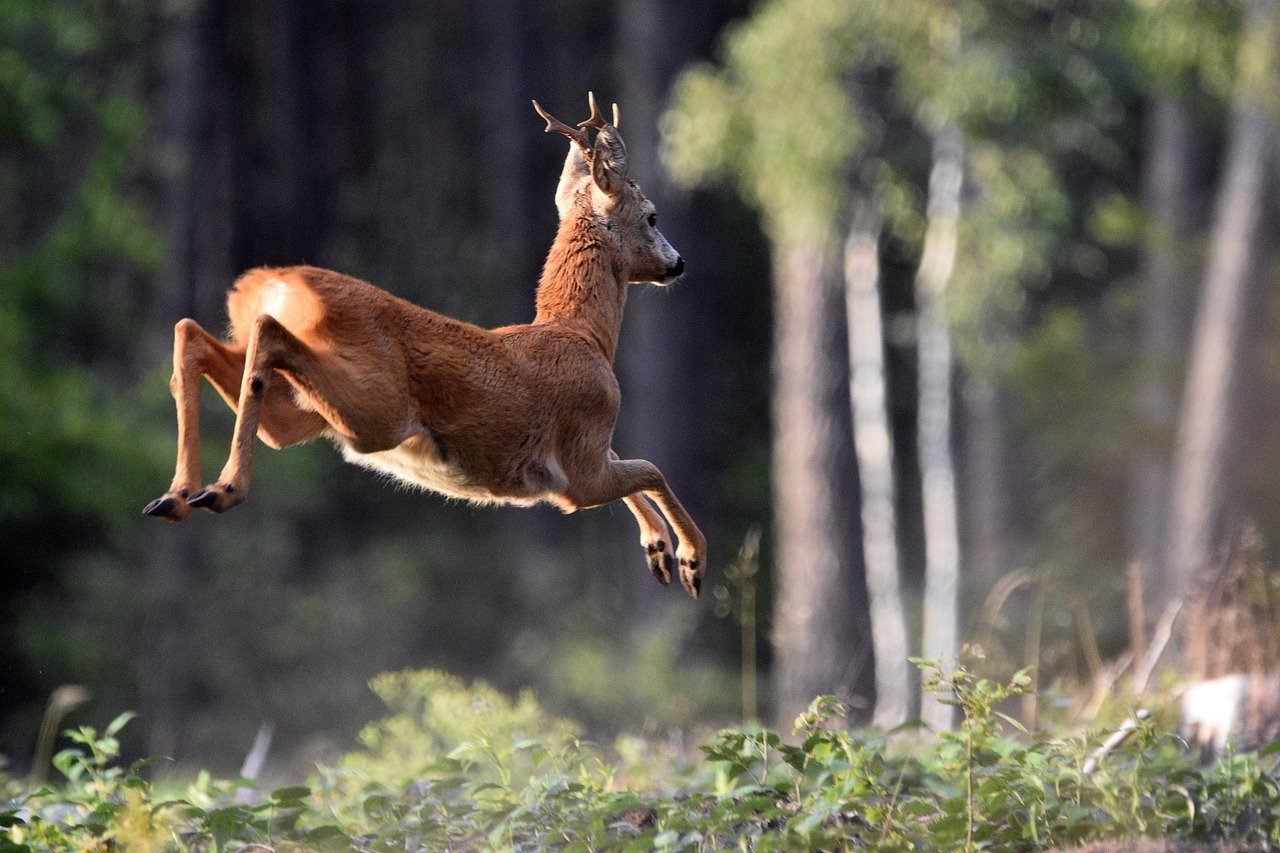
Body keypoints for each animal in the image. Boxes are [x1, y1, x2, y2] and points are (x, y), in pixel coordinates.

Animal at [145, 92, 716, 594]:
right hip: (375, 406)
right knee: (263, 334)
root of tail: (273, 283)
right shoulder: (579, 466)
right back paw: (222, 488)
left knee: (194, 335)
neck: (585, 335)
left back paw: (178, 495)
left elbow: (639, 467)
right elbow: (652, 468)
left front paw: (658, 550)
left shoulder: (589, 457)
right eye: (652, 216)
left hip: (306, 414)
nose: (679, 263)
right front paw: (689, 560)